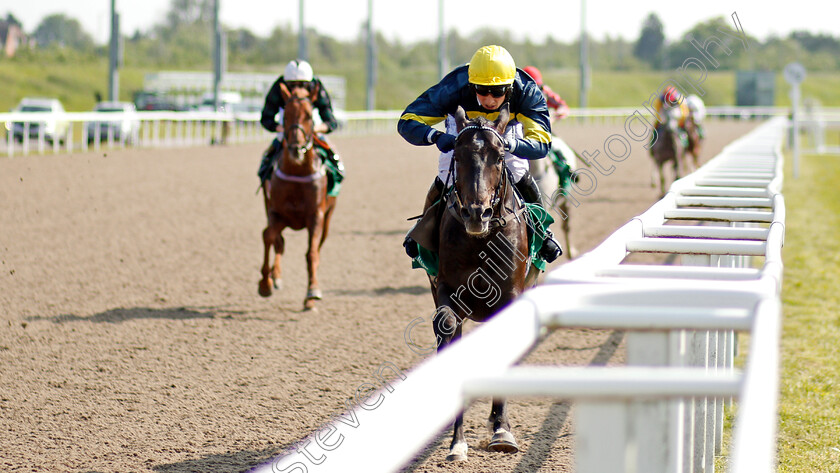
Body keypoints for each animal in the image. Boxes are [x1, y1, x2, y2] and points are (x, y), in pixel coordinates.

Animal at [258, 81, 336, 310]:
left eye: (310, 116)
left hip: (328, 217)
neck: (298, 171)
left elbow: (312, 253)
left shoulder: (316, 216)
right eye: (285, 116)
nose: (295, 148)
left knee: (317, 247)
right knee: (279, 242)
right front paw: (265, 283)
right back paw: (275, 277)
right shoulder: (276, 212)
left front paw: (312, 292)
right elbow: (269, 236)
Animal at [430, 103, 540, 460]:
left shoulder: (510, 296)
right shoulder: (447, 292)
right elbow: (447, 328)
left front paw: (502, 430)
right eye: (457, 153)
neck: (481, 241)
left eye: (500, 154)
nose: (477, 214)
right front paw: (457, 442)